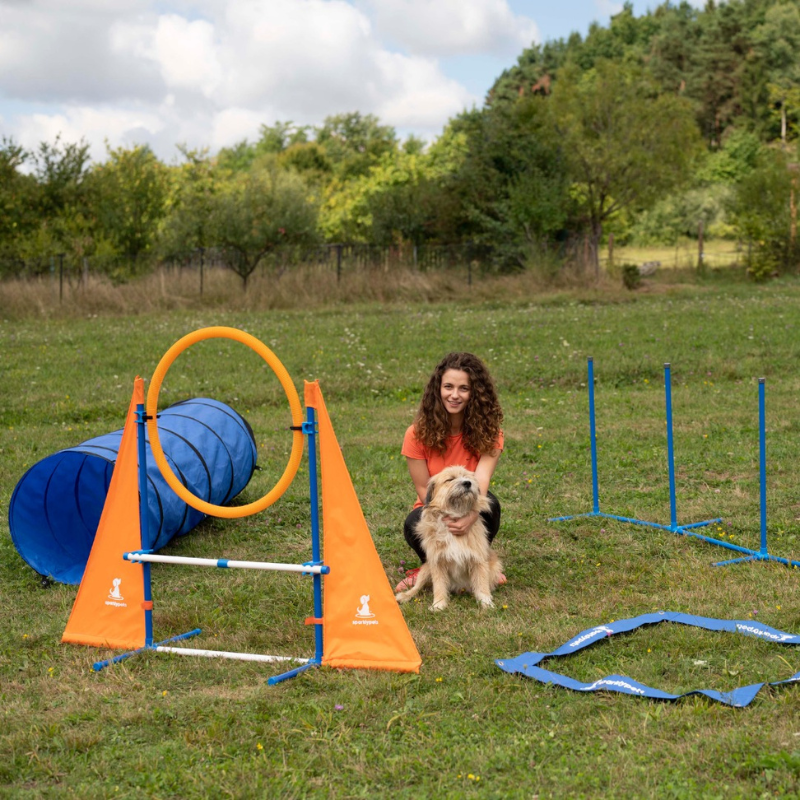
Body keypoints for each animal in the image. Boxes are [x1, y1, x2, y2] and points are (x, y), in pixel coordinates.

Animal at [396, 462, 504, 612]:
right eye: (450, 479)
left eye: (467, 477)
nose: (467, 483)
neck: (455, 515)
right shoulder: (437, 562)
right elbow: (439, 586)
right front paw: (438, 604)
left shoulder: (478, 560)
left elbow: (482, 585)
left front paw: (486, 603)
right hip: (426, 570)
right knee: (417, 587)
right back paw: (405, 596)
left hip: (493, 569)